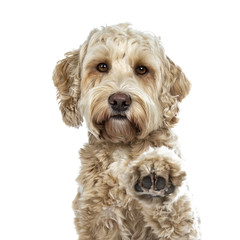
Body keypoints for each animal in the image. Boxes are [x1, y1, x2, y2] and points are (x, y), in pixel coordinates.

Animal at [53, 23, 201, 239]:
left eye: (141, 69)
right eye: (102, 66)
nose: (119, 101)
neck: (123, 144)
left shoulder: (184, 224)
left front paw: (159, 176)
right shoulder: (100, 219)